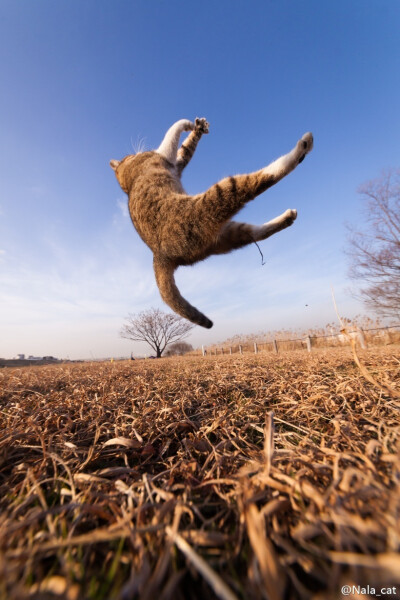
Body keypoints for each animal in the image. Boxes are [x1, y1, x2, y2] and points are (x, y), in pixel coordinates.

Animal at [109, 118, 312, 328]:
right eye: (128, 156)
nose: (134, 153)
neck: (126, 182)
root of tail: (159, 256)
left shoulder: (176, 163)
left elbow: (185, 148)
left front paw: (197, 128)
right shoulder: (164, 155)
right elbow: (171, 133)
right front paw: (187, 123)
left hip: (228, 234)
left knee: (258, 233)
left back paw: (287, 218)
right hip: (217, 198)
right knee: (261, 180)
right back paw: (301, 149)